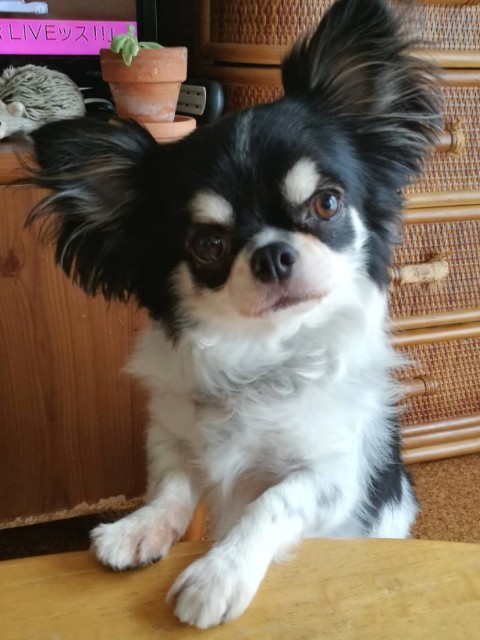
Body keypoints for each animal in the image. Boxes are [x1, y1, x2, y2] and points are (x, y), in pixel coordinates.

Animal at [25, 0, 441, 628]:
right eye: (207, 244)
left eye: (327, 204)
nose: (272, 252)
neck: (259, 360)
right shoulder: (170, 439)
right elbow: (171, 487)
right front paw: (138, 529)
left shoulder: (333, 474)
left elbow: (270, 502)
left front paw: (217, 575)